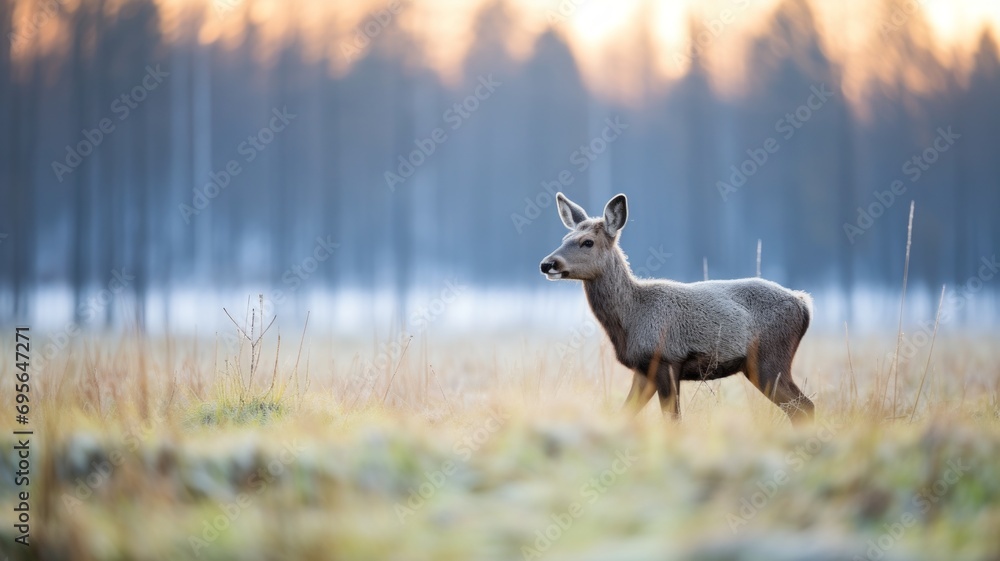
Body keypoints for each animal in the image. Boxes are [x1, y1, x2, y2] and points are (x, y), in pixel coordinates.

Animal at [539, 193, 815, 424]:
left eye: (587, 242)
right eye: (564, 239)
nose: (547, 264)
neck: (632, 316)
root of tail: (804, 304)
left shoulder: (667, 359)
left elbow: (673, 422)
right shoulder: (643, 370)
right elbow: (624, 415)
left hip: (770, 359)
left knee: (804, 407)